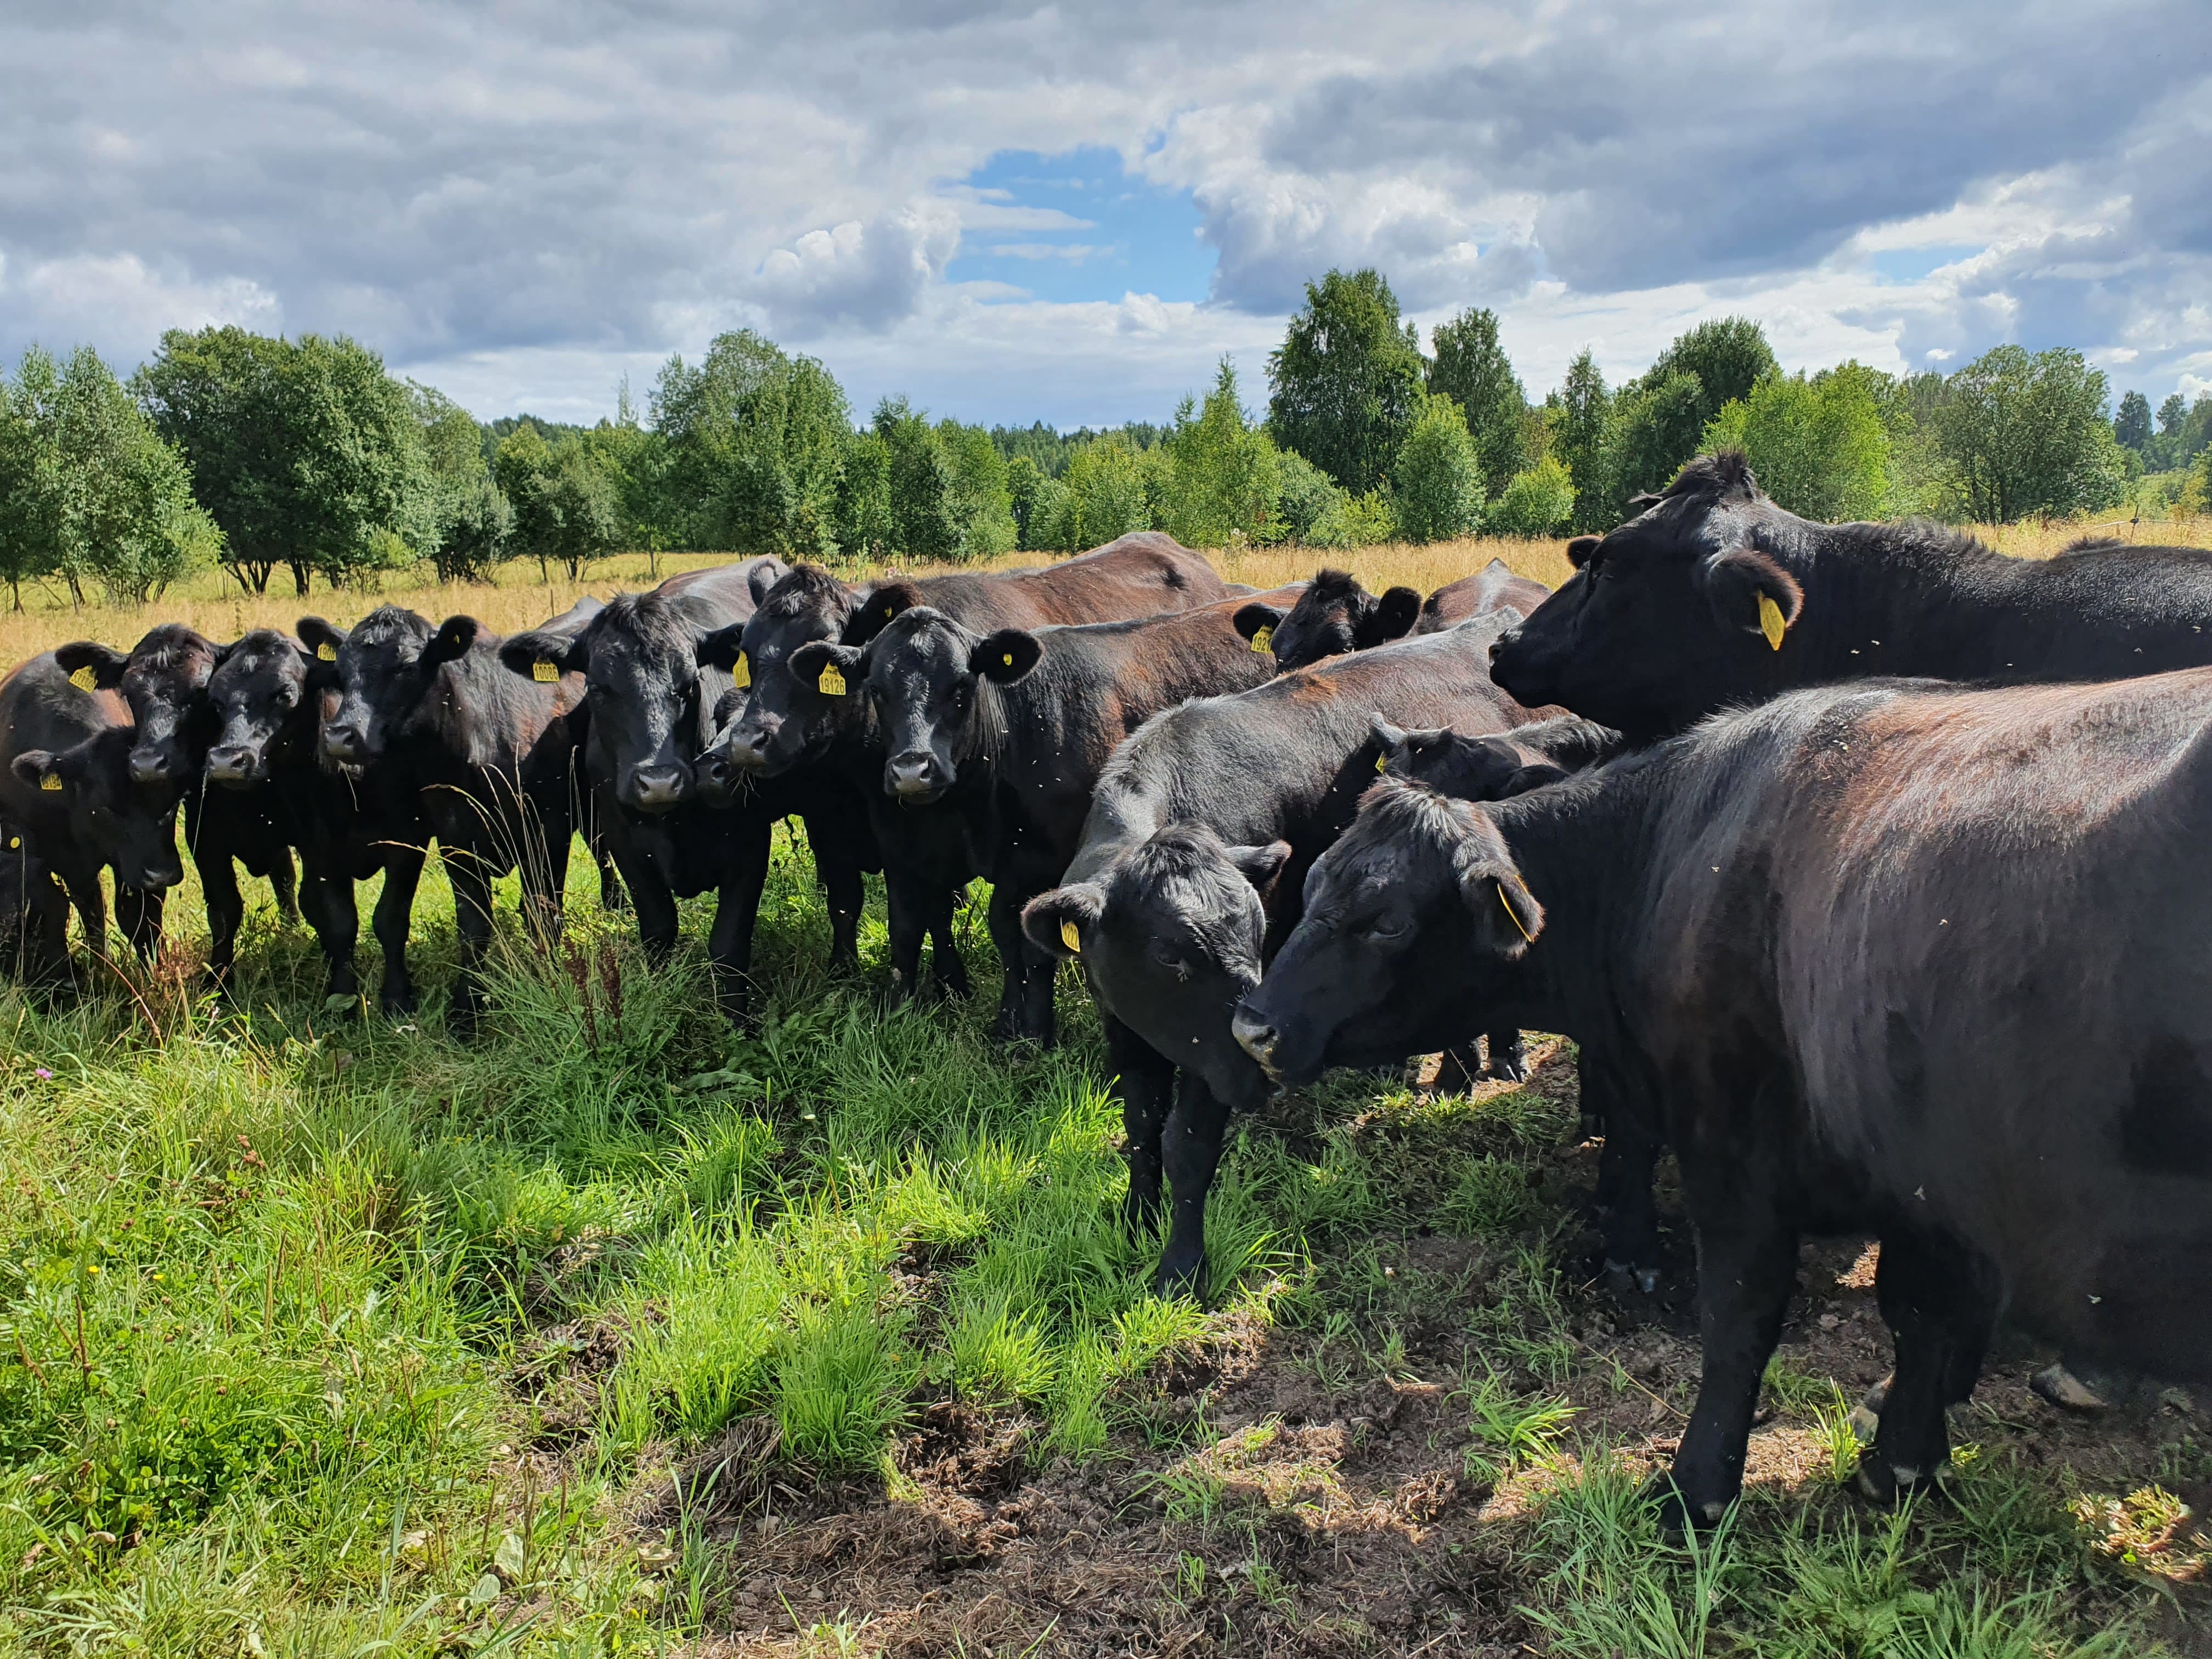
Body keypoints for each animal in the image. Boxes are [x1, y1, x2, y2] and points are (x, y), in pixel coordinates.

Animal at [0, 652, 184, 976]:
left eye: (171, 804)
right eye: (108, 806)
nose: (161, 874)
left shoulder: (134, 867)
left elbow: (140, 918)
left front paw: (157, 972)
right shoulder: (70, 865)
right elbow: (93, 913)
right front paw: (103, 969)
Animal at [697, 535, 1231, 1003]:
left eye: (819, 646)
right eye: (748, 651)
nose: (748, 741)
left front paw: (954, 987)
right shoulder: (858, 831)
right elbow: (880, 909)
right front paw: (885, 981)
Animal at [805, 584, 1304, 1044]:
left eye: (962, 686)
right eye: (876, 689)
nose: (913, 769)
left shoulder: (1040, 863)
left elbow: (1028, 943)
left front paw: (1031, 1032)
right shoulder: (917, 852)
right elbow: (923, 928)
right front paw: (909, 1016)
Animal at [1016, 615, 1545, 1292]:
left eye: (1256, 933)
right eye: (1168, 955)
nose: (1257, 1058)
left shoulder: (1217, 1059)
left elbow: (1187, 1144)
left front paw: (1181, 1265)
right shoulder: (1128, 1024)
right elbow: (1140, 1126)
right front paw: (1136, 1217)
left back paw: (1499, 1058)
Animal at [1230, 671, 2212, 1529]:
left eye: (1387, 921)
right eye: (1313, 887)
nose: (1254, 1025)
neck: (1670, 853)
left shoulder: (1733, 1144)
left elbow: (1740, 1314)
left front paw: (1697, 1490)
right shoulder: (1928, 1190)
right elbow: (1918, 1315)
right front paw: (1900, 1461)